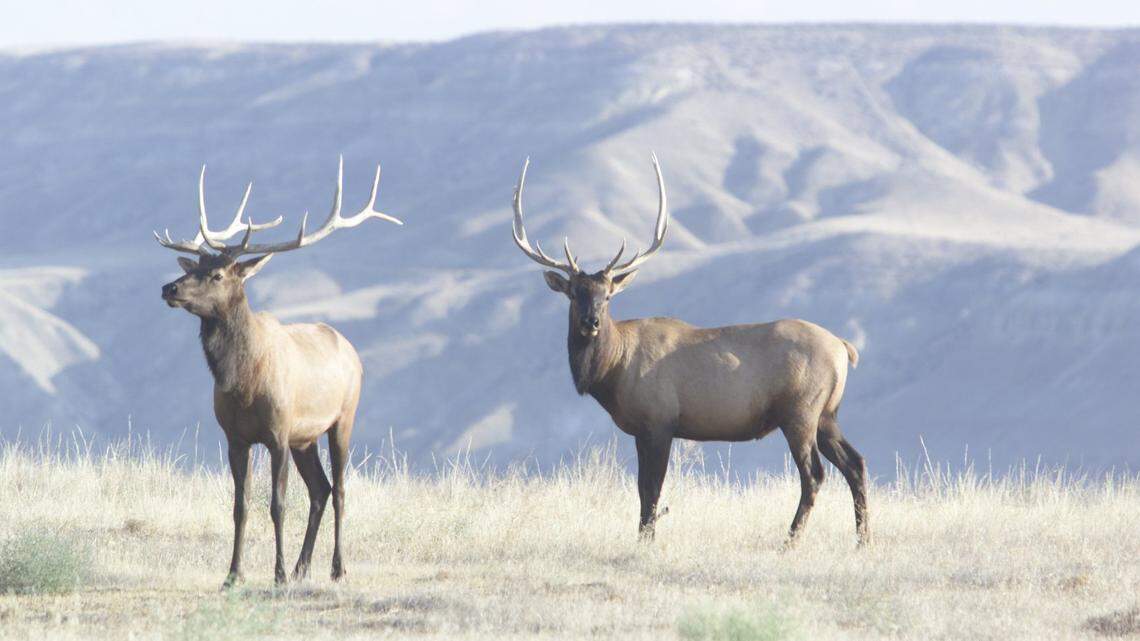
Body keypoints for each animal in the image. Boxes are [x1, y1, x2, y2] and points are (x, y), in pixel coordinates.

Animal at [156, 157, 402, 587]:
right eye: (195, 265)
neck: (242, 382)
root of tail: (351, 350)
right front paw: (233, 574)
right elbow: (240, 506)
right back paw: (305, 567)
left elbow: (277, 504)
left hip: (343, 418)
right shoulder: (235, 438)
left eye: (218, 274)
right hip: (306, 439)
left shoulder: (278, 433)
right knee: (320, 489)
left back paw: (336, 568)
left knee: (339, 490)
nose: (169, 288)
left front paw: (279, 573)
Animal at [510, 155, 869, 546]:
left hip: (800, 411)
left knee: (814, 474)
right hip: (827, 414)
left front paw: (647, 541)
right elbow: (642, 490)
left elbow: (652, 489)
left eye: (607, 296)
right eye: (575, 294)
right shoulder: (642, 431)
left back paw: (790, 541)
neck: (613, 373)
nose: (590, 323)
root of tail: (845, 349)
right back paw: (862, 539)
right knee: (856, 464)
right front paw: (643, 537)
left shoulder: (660, 421)